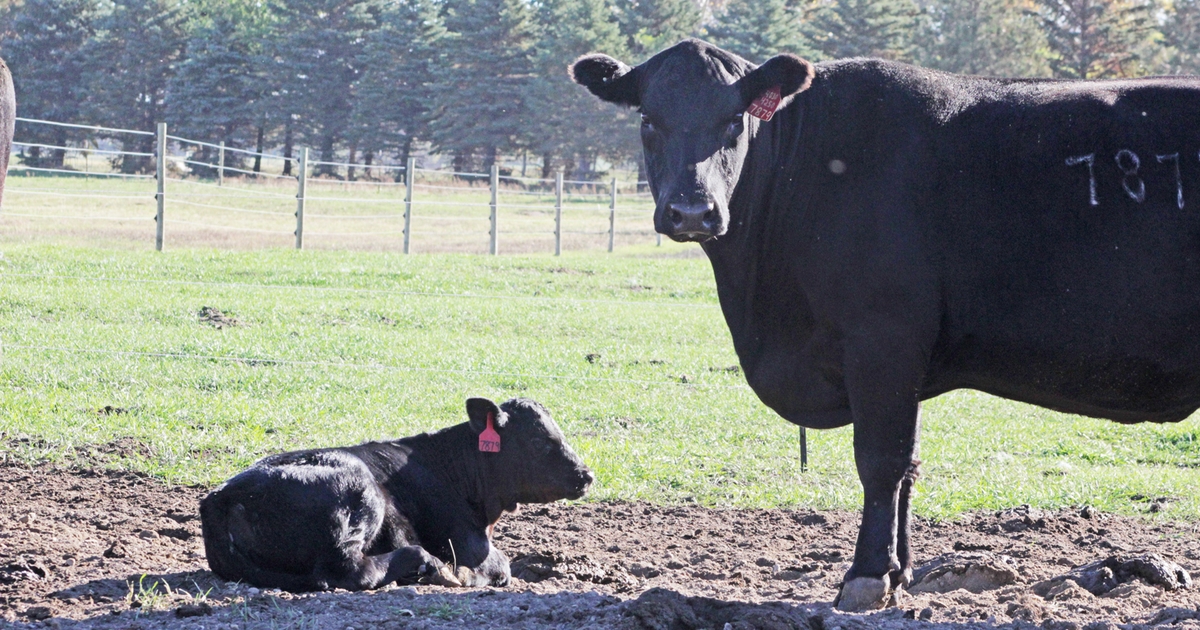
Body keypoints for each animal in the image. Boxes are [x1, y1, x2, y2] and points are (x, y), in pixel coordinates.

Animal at [201, 398, 595, 590]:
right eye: (538, 441)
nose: (586, 475)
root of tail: (219, 496)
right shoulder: (466, 541)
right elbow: (501, 565)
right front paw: (467, 573)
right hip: (358, 489)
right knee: (348, 571)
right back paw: (429, 565)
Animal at [568, 39, 1200, 609]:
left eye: (734, 120)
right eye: (648, 119)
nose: (693, 211)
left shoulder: (882, 339)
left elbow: (880, 459)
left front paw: (866, 576)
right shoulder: (904, 357)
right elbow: (909, 464)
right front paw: (900, 572)